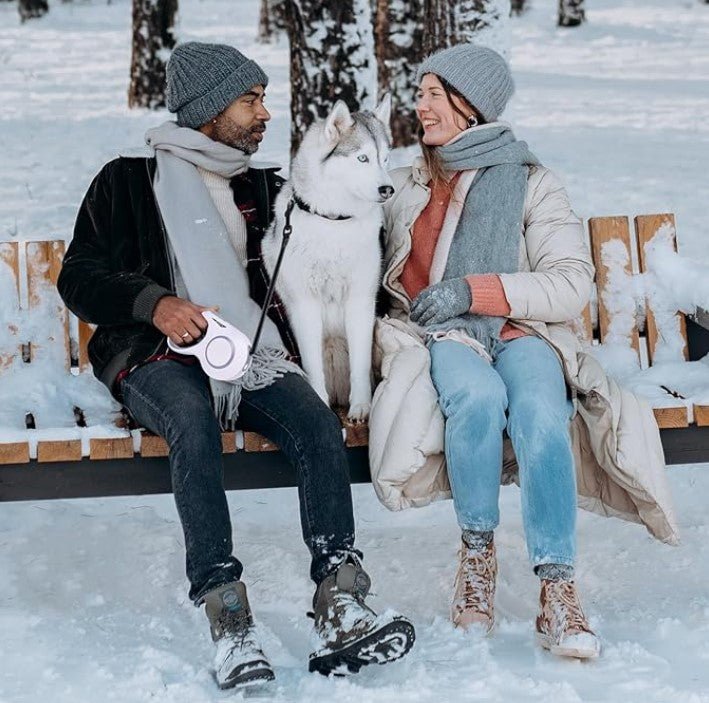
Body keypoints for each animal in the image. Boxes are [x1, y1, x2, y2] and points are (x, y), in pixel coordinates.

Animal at [262, 96, 392, 420]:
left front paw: (361, 407)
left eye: (385, 159)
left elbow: (360, 366)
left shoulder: (360, 301)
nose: (388, 189)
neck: (335, 222)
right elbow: (312, 367)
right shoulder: (305, 305)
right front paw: (320, 403)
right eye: (362, 158)